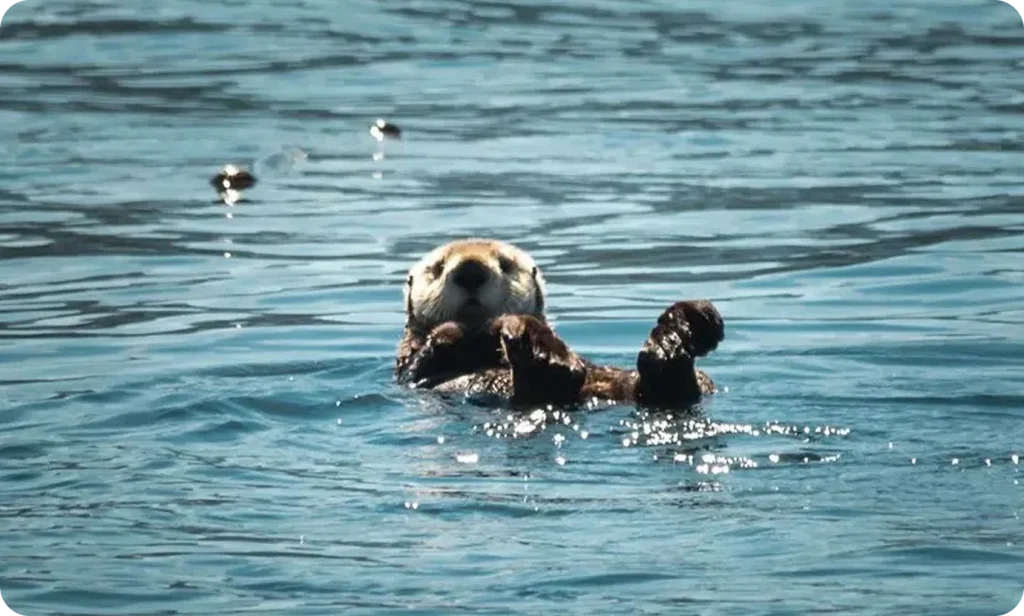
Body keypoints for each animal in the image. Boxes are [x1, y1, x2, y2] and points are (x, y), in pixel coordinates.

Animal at [394, 239, 724, 409]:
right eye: (437, 268)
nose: (471, 271)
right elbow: (429, 354)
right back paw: (539, 347)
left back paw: (683, 327)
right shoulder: (410, 367)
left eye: (505, 264)